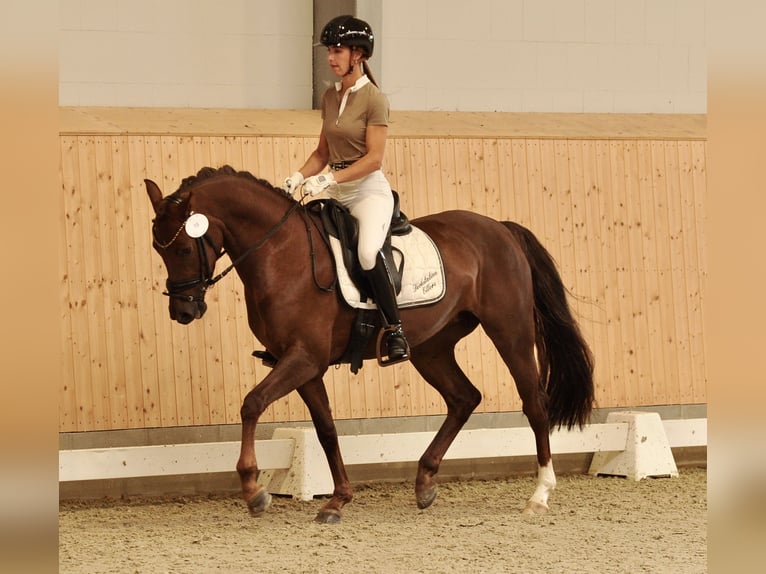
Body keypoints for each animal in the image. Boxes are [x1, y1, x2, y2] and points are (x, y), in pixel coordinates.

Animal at [146, 164, 600, 524]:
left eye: (183, 247)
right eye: (156, 247)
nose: (183, 311)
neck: (281, 253)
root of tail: (501, 228)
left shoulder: (303, 358)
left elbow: (252, 403)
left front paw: (253, 490)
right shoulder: (304, 365)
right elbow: (326, 429)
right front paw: (337, 500)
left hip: (511, 332)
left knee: (534, 403)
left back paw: (539, 495)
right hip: (431, 348)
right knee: (463, 397)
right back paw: (425, 481)